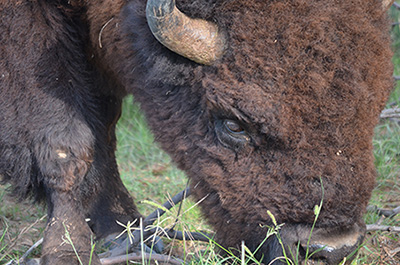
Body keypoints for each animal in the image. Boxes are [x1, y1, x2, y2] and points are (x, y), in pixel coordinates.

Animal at [0, 0, 394, 262]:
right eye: (233, 124)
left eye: (374, 107)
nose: (331, 248)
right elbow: (67, 144)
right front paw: (68, 250)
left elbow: (103, 131)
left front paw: (126, 232)